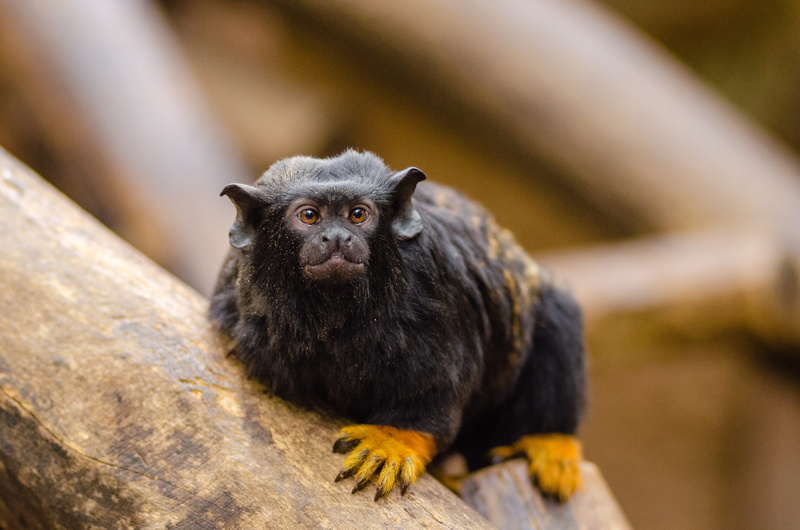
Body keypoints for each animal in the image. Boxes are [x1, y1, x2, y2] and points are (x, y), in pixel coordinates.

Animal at [210, 150, 586, 502]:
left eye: (358, 215)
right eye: (309, 216)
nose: (337, 238)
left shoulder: (436, 288)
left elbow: (435, 390)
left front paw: (391, 441)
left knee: (556, 320)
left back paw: (547, 441)